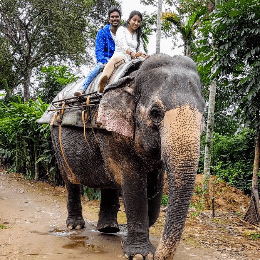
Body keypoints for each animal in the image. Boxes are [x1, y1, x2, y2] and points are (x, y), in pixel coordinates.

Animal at [48, 53, 205, 258]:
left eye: (203, 113)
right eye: (155, 113)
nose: (159, 256)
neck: (132, 79)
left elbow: (156, 184)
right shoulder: (111, 132)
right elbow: (133, 182)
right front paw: (141, 255)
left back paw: (108, 229)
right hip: (56, 139)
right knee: (70, 180)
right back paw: (75, 226)